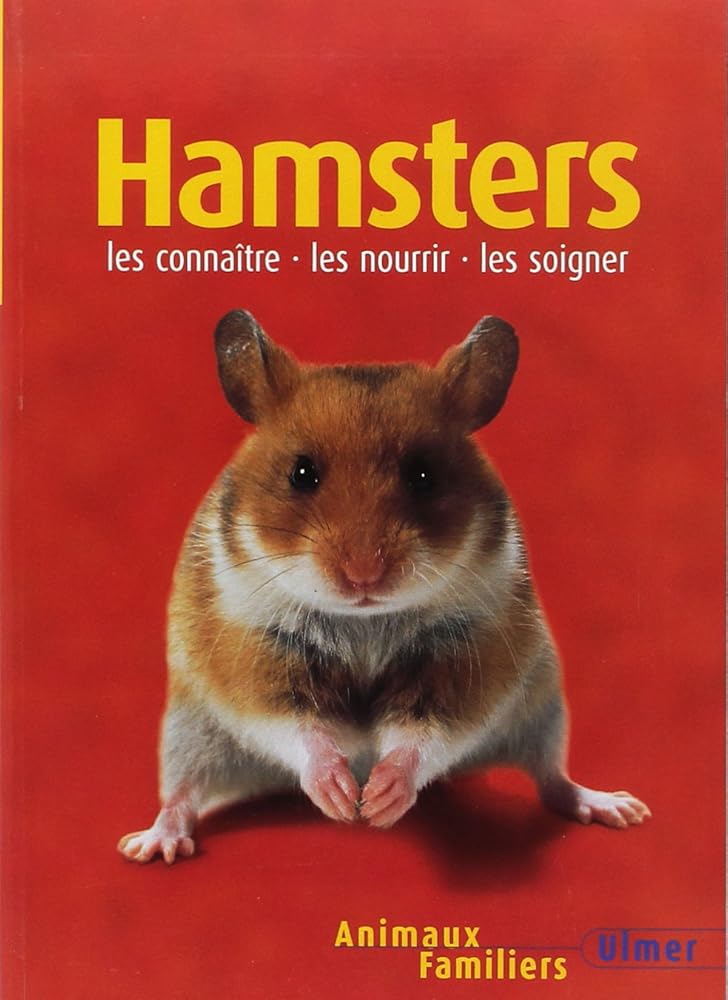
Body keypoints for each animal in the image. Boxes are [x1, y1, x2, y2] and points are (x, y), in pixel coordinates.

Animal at [118, 309, 650, 864]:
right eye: (301, 473)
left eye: (423, 475)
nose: (363, 575)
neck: (364, 619)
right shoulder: (253, 655)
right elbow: (297, 725)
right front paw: (340, 799)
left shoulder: (467, 657)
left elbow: (426, 733)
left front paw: (376, 802)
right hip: (189, 731)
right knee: (183, 792)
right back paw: (149, 847)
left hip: (542, 710)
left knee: (551, 779)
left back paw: (619, 808)